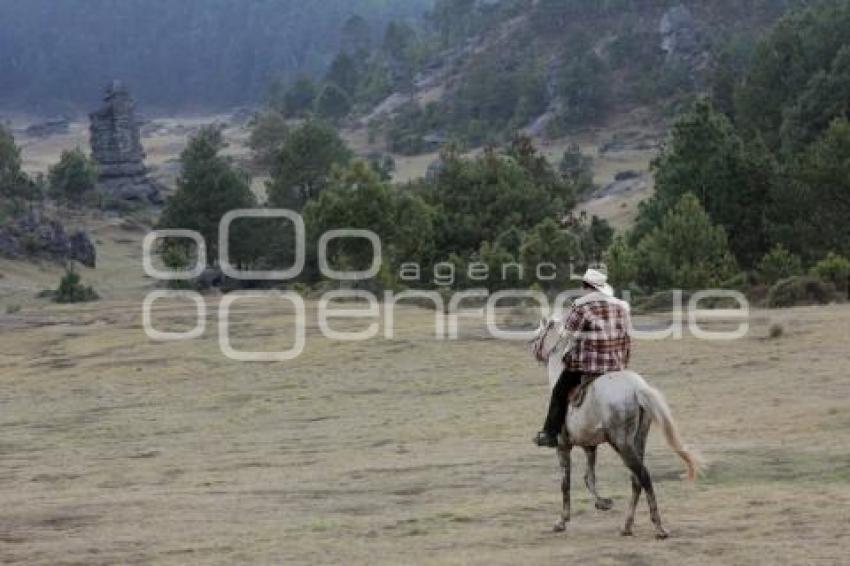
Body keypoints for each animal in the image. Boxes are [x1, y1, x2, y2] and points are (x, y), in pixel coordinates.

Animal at [528, 318, 704, 540]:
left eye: (540, 334)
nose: (533, 348)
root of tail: (638, 389)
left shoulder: (563, 446)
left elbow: (566, 483)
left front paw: (561, 521)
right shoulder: (590, 447)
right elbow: (589, 478)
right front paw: (603, 503)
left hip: (621, 443)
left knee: (643, 476)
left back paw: (659, 528)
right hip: (638, 440)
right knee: (636, 479)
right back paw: (627, 526)